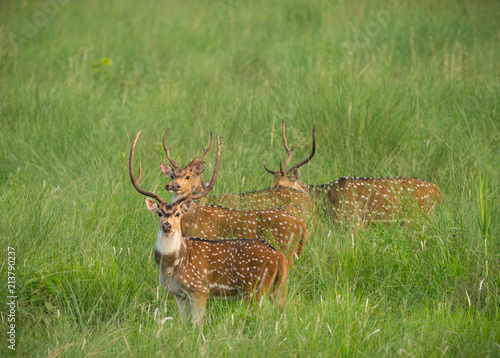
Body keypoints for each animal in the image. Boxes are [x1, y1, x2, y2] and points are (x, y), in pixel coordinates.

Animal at [130, 131, 290, 328]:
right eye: (160, 213)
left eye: (177, 214)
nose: (167, 226)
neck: (172, 265)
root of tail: (279, 257)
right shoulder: (179, 294)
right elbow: (183, 323)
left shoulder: (199, 289)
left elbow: (198, 325)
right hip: (280, 288)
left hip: (254, 288)